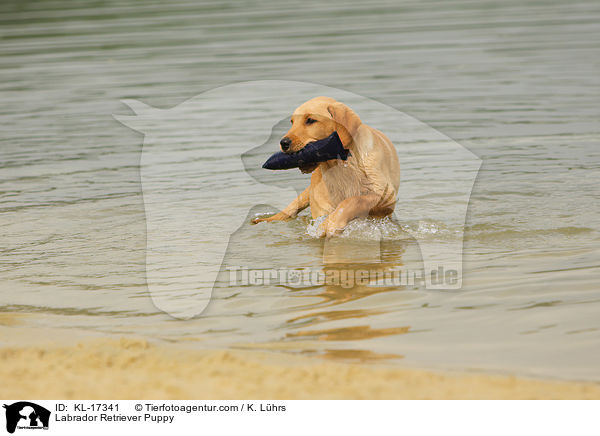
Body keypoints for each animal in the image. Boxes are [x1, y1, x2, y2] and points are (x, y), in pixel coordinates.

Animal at [252, 96, 398, 237]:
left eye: (310, 120)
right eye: (292, 122)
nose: (283, 143)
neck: (342, 165)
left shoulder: (385, 195)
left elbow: (353, 200)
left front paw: (332, 223)